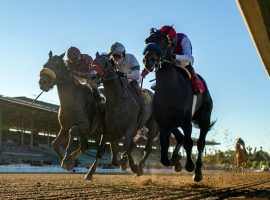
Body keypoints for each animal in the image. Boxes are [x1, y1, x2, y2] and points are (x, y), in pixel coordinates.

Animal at [84, 52, 159, 180]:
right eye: (92, 63)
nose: (91, 77)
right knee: (134, 145)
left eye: (105, 63)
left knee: (147, 148)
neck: (117, 101)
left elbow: (126, 145)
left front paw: (133, 166)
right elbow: (104, 152)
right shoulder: (109, 130)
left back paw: (140, 166)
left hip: (152, 125)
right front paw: (90, 173)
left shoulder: (130, 128)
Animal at [143, 27, 215, 182]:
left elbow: (189, 142)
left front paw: (189, 165)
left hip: (204, 119)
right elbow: (164, 156)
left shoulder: (186, 121)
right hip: (173, 122)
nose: (149, 60)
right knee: (180, 137)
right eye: (147, 41)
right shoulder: (163, 123)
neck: (171, 88)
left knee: (200, 143)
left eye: (163, 41)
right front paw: (176, 161)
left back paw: (197, 171)